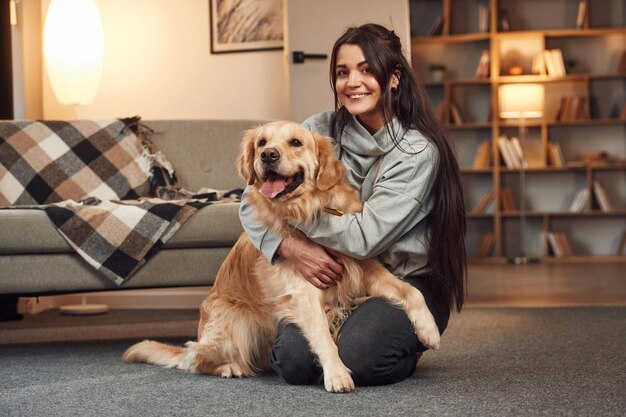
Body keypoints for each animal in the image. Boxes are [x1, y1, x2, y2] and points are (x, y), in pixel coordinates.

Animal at [123, 119, 438, 390]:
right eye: (262, 142)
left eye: (295, 142)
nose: (268, 155)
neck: (312, 208)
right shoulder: (303, 289)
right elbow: (322, 335)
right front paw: (336, 373)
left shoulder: (365, 268)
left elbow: (412, 292)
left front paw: (429, 330)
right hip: (236, 320)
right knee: (195, 357)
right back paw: (230, 367)